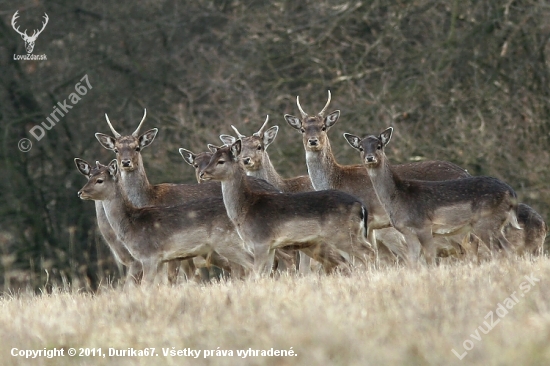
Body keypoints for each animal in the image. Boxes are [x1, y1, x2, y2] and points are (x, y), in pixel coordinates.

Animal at [77, 159, 254, 284]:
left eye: (99, 180)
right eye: (88, 176)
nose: (80, 192)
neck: (131, 225)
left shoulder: (148, 257)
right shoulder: (160, 260)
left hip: (227, 242)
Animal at [344, 127, 520, 264]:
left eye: (379, 146)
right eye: (361, 148)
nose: (370, 157)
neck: (398, 197)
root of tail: (511, 193)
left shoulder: (424, 226)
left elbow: (429, 258)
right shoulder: (408, 232)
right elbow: (413, 261)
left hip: (485, 223)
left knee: (498, 250)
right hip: (495, 226)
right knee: (508, 248)